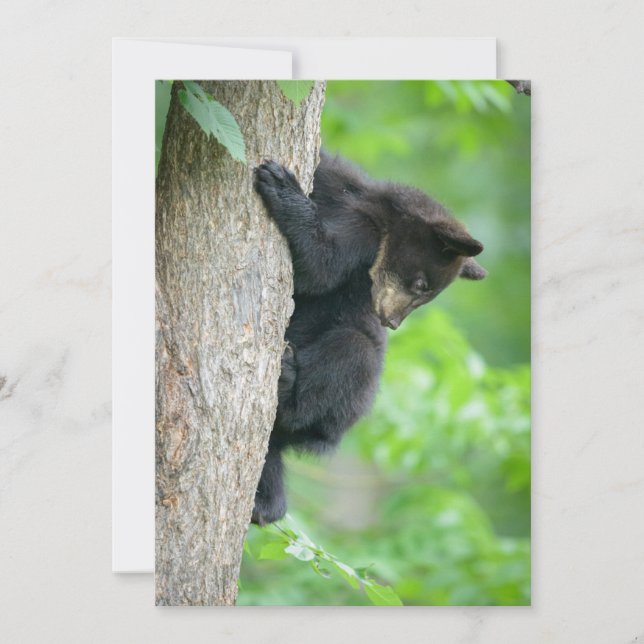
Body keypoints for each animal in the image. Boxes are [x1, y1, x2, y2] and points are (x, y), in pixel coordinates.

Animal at [251, 151, 486, 525]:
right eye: (421, 285)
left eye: (426, 294)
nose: (391, 322)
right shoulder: (339, 186)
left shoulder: (363, 238)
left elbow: (321, 267)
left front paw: (281, 186)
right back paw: (265, 503)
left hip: (348, 400)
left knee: (350, 356)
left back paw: (287, 386)